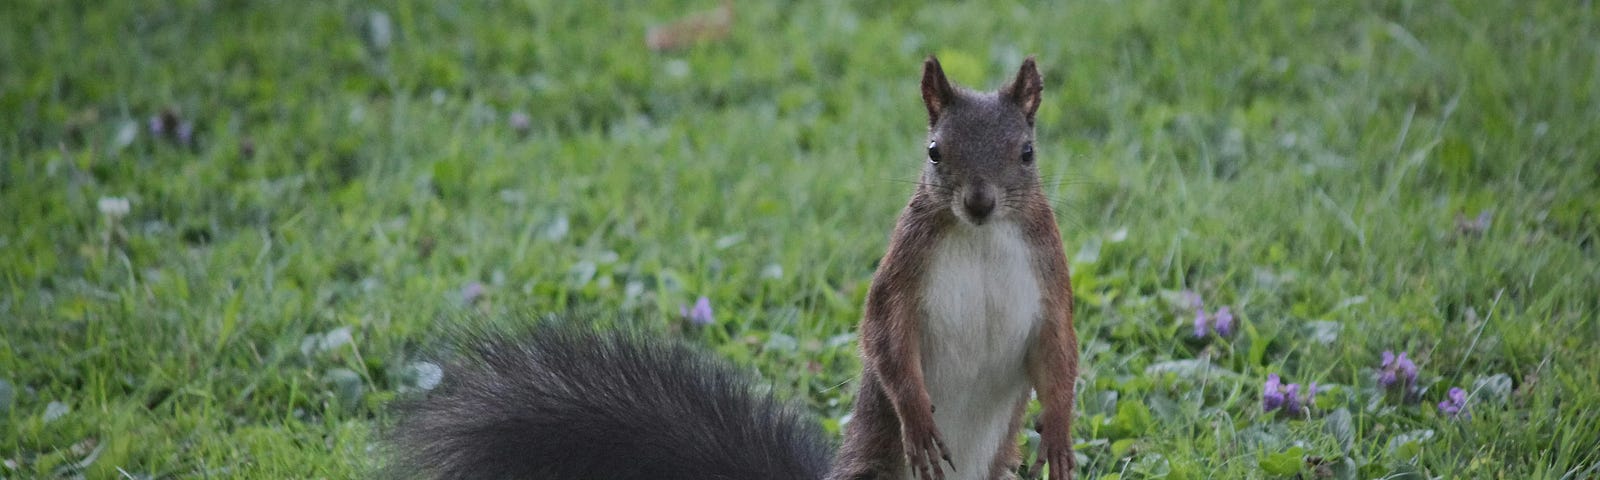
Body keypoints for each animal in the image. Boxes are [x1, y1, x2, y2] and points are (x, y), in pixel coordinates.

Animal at [384, 57, 1088, 480]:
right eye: (935, 151)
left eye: (1026, 152)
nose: (979, 202)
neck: (981, 239)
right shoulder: (901, 274)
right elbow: (884, 337)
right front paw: (917, 417)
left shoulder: (1048, 279)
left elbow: (1058, 353)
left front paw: (1057, 434)